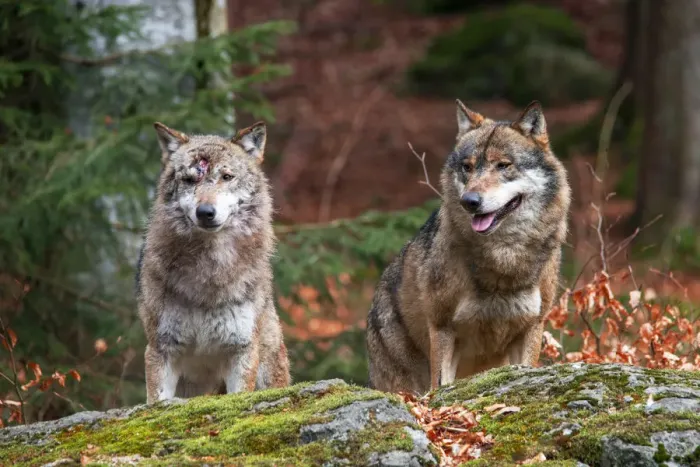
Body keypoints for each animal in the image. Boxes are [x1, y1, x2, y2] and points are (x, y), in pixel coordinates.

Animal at [136, 121, 290, 403]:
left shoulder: (242, 352)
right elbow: (157, 401)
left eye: (227, 177)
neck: (209, 273)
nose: (205, 212)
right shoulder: (160, 350)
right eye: (189, 180)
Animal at [366, 100, 571, 394]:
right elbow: (441, 384)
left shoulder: (532, 326)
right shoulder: (442, 327)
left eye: (503, 165)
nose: (469, 201)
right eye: (467, 167)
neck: (504, 258)